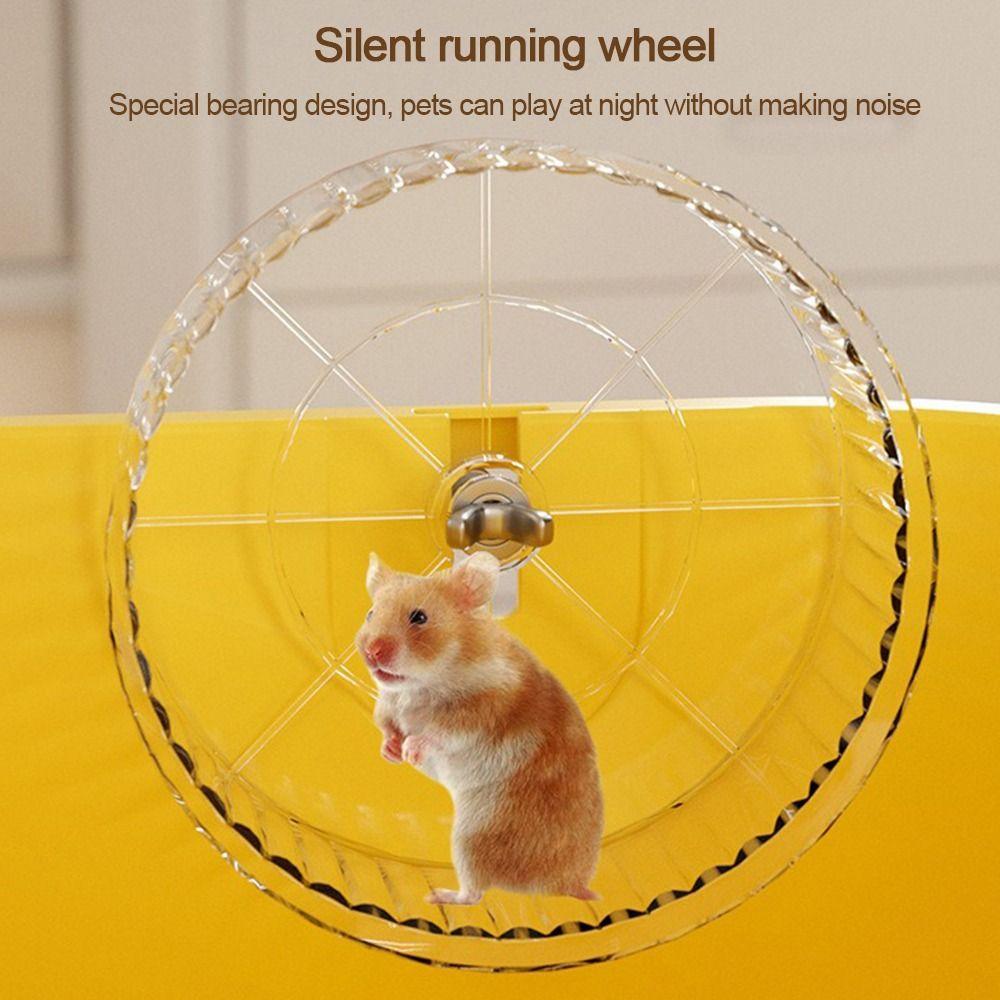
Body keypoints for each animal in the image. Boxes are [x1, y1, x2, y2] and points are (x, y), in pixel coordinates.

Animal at [355, 551, 603, 905]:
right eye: (370, 613)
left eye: (419, 617)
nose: (371, 652)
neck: (421, 682)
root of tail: (566, 885)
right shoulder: (387, 704)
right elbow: (386, 726)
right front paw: (392, 752)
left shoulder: (478, 710)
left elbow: (438, 732)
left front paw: (410, 751)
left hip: (471, 838)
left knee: (474, 894)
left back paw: (437, 896)